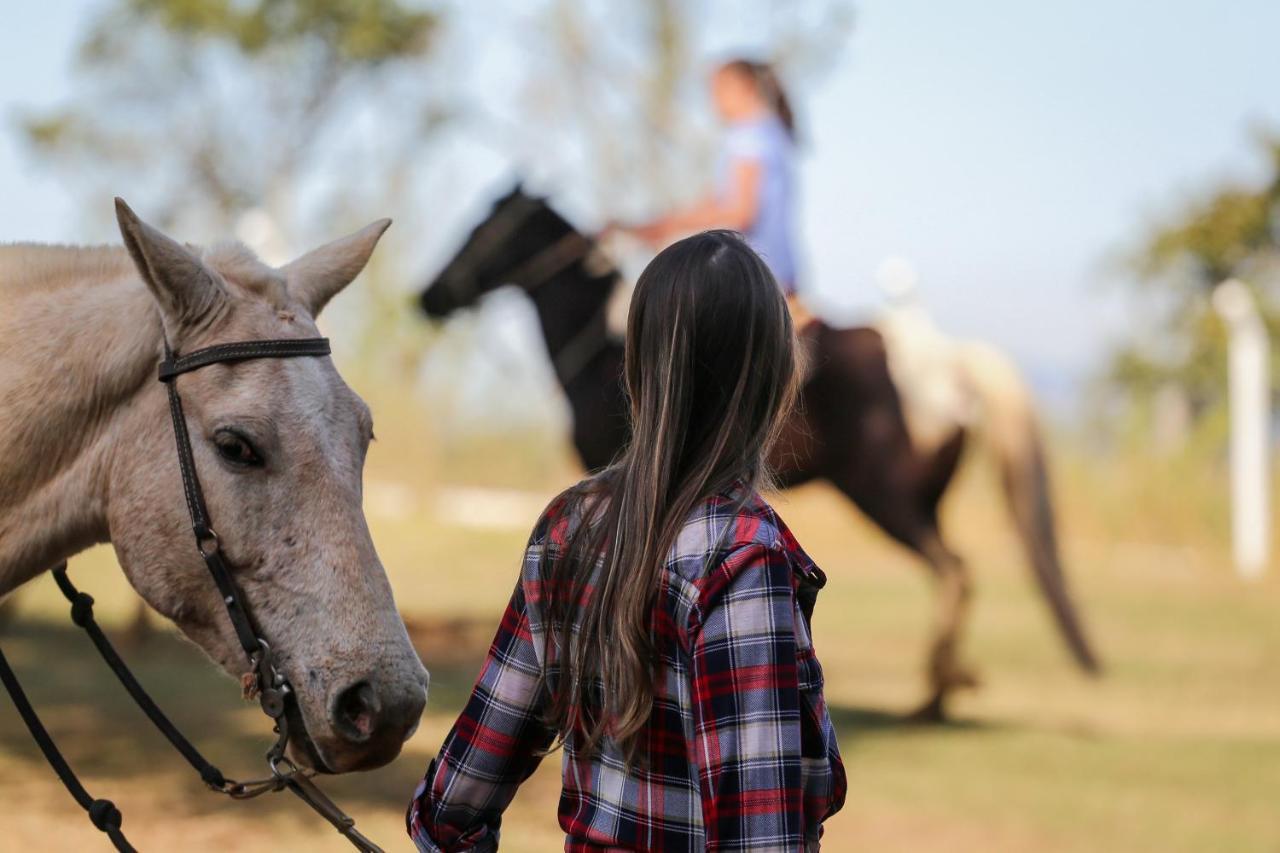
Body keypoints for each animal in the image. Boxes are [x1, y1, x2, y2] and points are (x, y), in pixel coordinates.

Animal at [419, 185, 1100, 717]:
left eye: (484, 228)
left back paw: (937, 692)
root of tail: (943, 359)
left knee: (952, 570)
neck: (604, 347)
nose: (429, 296)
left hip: (883, 496)